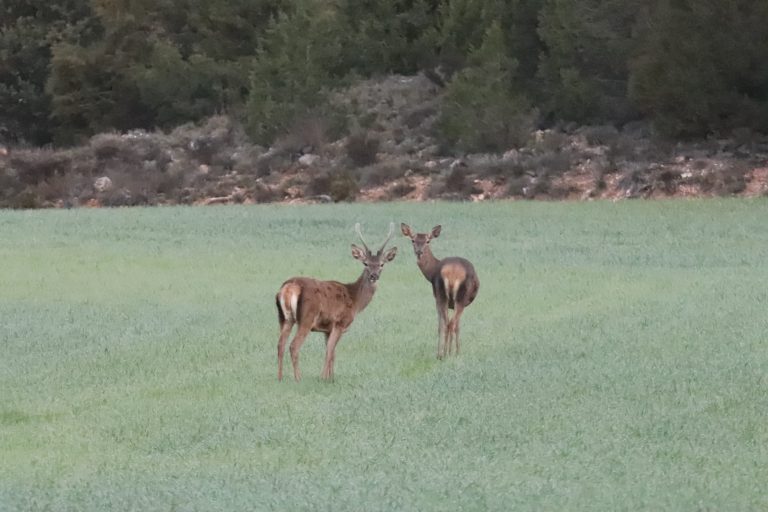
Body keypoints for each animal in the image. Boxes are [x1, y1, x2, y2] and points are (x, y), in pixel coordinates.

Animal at [276, 223, 397, 382]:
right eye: (365, 263)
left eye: (382, 264)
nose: (373, 276)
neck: (355, 300)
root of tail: (290, 287)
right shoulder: (340, 322)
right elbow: (330, 351)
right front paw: (324, 378)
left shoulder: (327, 329)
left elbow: (332, 353)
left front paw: (330, 377)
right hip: (307, 317)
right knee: (294, 346)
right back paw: (298, 378)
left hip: (284, 318)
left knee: (280, 345)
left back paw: (280, 378)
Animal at [400, 223, 479, 359]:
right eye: (413, 240)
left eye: (428, 240)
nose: (419, 252)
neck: (431, 273)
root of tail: (452, 272)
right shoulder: (440, 298)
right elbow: (455, 326)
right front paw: (456, 352)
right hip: (455, 297)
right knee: (450, 323)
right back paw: (447, 353)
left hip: (444, 295)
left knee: (447, 324)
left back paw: (443, 353)